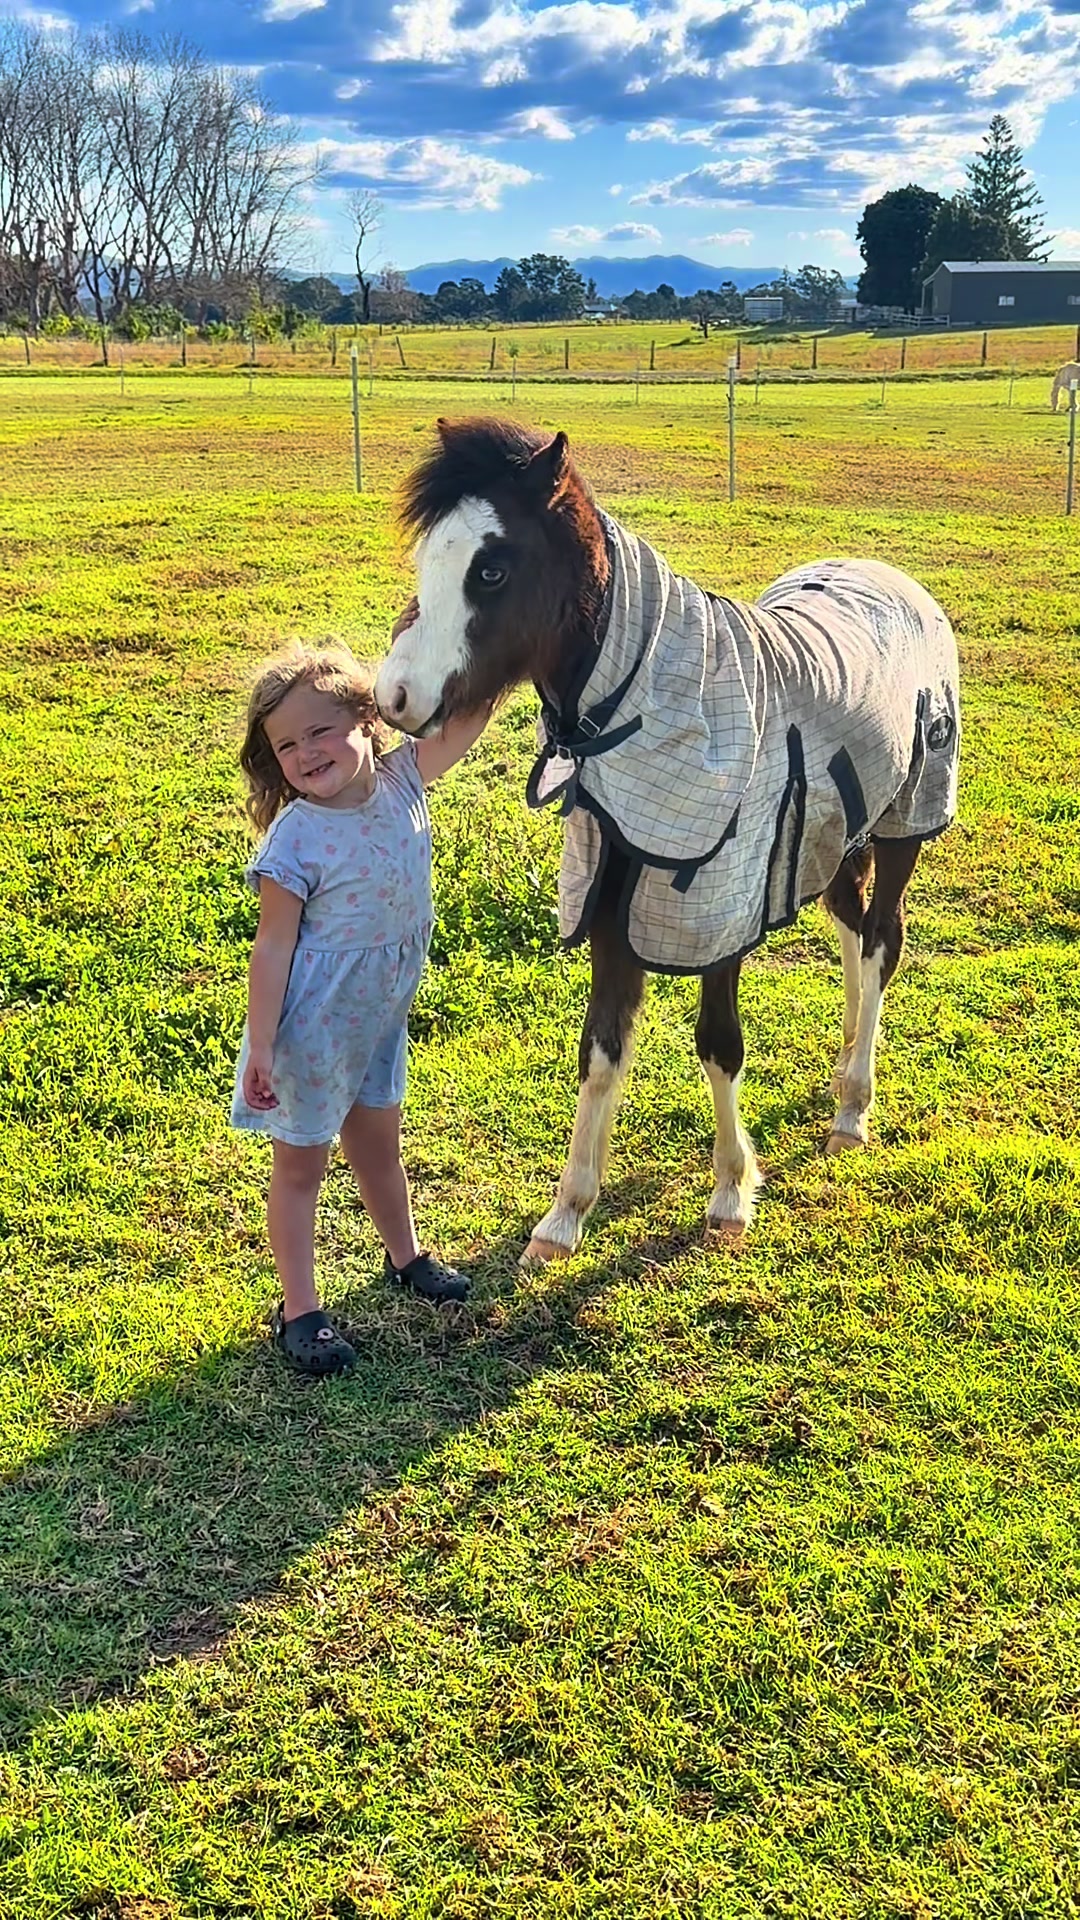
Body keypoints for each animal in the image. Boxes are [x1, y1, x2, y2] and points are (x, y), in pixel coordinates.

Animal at [375, 417, 960, 1265]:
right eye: (428, 560)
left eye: (490, 569)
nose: (394, 697)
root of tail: (895, 580)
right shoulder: (610, 905)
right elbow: (600, 1050)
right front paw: (565, 1216)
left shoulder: (718, 915)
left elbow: (719, 1043)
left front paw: (731, 1194)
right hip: (836, 836)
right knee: (854, 936)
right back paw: (846, 1063)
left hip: (904, 824)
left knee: (883, 938)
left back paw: (854, 1107)